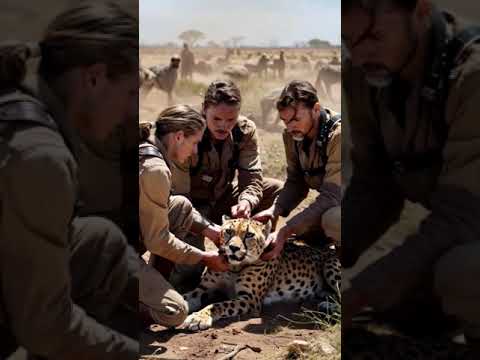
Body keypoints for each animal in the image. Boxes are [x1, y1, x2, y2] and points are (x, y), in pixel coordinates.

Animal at [181, 217, 342, 332]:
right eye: (229, 232)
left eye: (249, 234)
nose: (233, 248)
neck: (235, 266)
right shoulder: (203, 289)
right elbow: (184, 298)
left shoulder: (250, 300)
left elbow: (218, 304)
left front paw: (198, 318)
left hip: (330, 265)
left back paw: (328, 306)